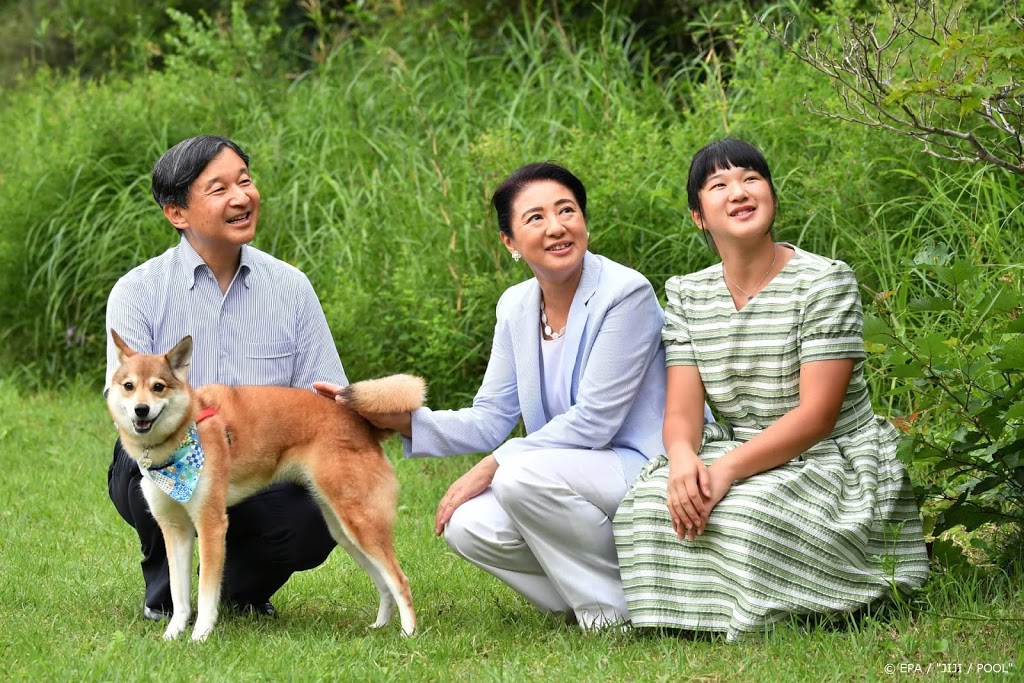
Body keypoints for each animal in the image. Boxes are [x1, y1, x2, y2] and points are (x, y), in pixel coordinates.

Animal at [107, 330, 423, 642]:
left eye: (158, 386)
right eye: (129, 386)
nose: (141, 410)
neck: (183, 435)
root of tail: (364, 426)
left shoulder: (211, 525)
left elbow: (207, 592)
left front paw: (200, 636)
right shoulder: (175, 530)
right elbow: (179, 594)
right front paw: (173, 635)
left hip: (361, 525)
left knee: (400, 581)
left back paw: (408, 633)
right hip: (346, 532)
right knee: (384, 584)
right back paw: (380, 625)